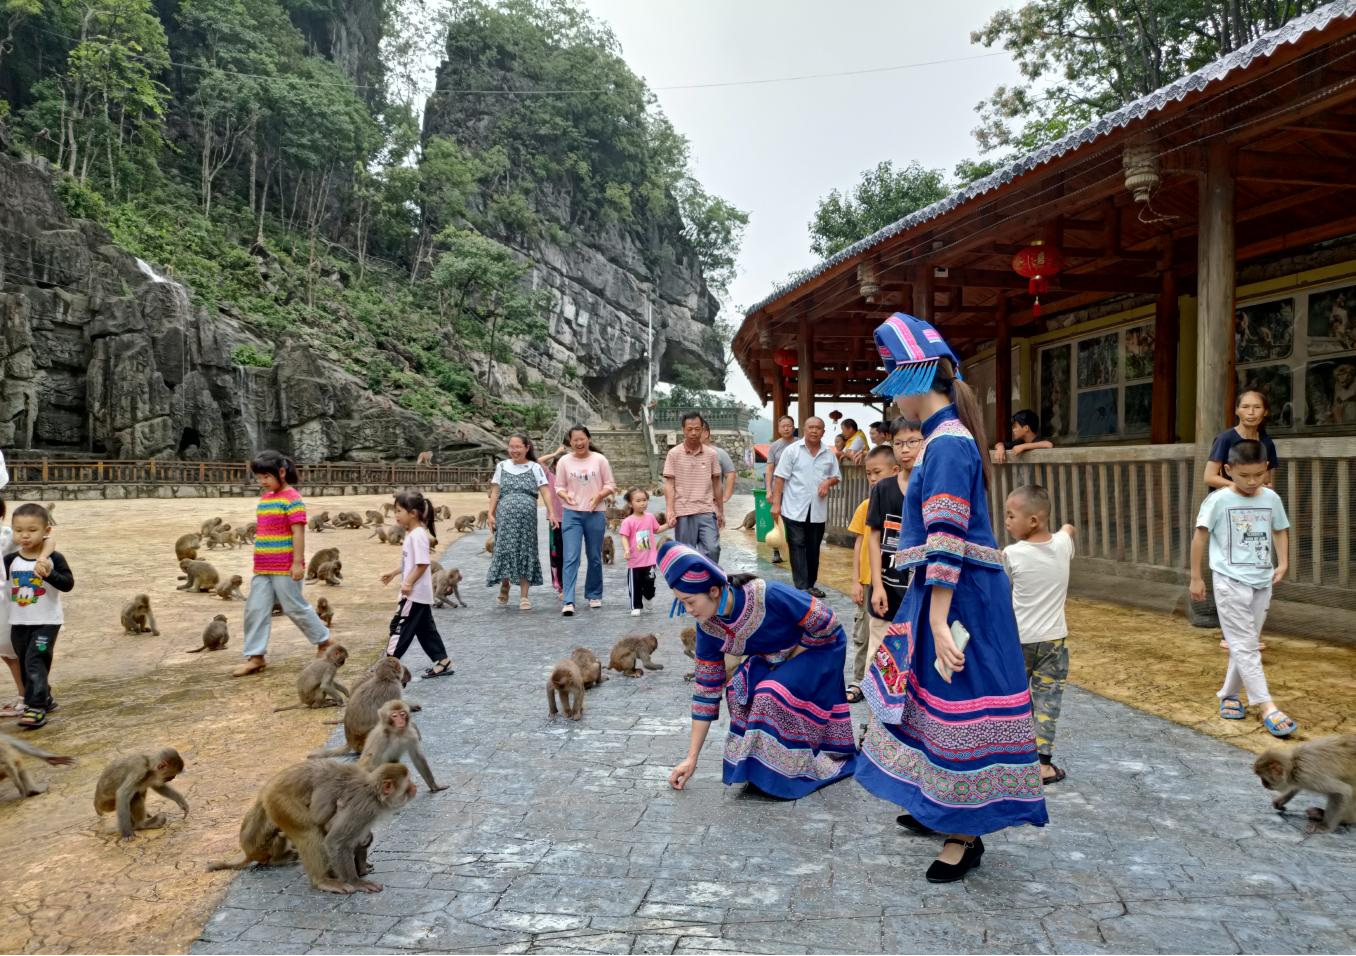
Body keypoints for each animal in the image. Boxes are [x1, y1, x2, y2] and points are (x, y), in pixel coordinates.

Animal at [258, 759, 412, 889]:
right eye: (408, 785)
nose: (414, 787)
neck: (375, 794)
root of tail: (269, 787)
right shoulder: (364, 809)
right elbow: (336, 841)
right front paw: (355, 882)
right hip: (281, 802)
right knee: (310, 832)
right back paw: (322, 881)